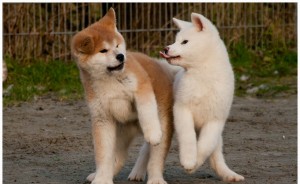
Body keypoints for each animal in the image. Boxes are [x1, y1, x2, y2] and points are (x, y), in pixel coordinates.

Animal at [71, 7, 173, 184]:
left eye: (117, 45)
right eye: (103, 50)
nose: (120, 56)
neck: (110, 80)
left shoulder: (142, 88)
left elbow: (146, 112)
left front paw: (152, 133)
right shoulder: (102, 118)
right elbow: (103, 155)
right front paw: (102, 179)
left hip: (163, 125)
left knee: (155, 158)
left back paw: (155, 178)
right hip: (121, 134)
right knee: (119, 157)